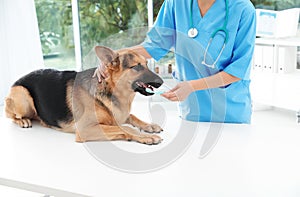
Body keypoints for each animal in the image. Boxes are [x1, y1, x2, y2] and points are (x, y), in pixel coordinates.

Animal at [4, 46, 164, 145]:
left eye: (146, 64)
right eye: (137, 67)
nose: (161, 82)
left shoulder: (120, 116)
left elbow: (133, 117)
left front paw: (149, 126)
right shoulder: (85, 129)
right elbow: (127, 128)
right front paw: (146, 136)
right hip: (23, 95)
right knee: (11, 116)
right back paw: (23, 121)